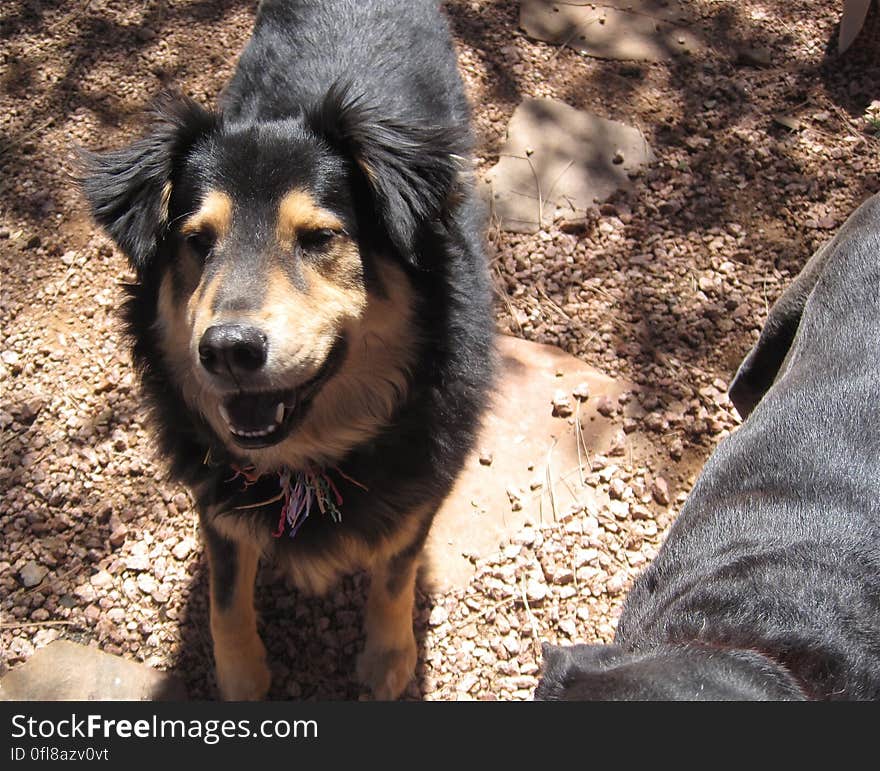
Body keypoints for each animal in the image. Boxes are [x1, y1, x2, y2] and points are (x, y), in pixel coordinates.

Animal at [81, 0, 496, 700]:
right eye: (197, 241)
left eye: (319, 238)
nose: (228, 350)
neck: (306, 459)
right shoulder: (215, 496)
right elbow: (225, 597)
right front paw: (242, 675)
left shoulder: (422, 484)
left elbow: (395, 573)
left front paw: (389, 660)